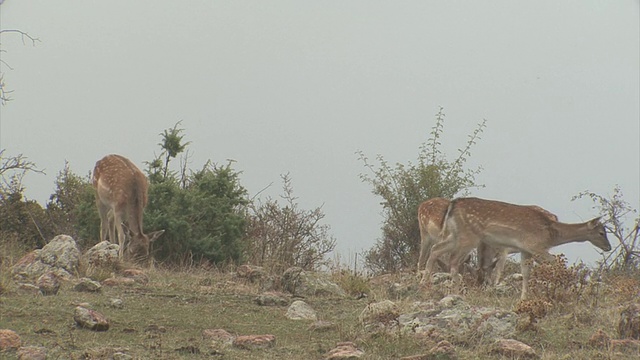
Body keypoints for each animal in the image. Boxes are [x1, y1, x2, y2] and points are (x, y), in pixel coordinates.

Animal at [424, 197, 608, 298]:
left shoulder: (526, 249)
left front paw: (523, 298)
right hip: (468, 237)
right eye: (601, 232)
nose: (608, 246)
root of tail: (452, 205)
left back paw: (424, 283)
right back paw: (456, 292)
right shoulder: (536, 246)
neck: (552, 234)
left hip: (455, 235)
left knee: (436, 249)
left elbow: (526, 273)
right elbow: (556, 263)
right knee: (453, 260)